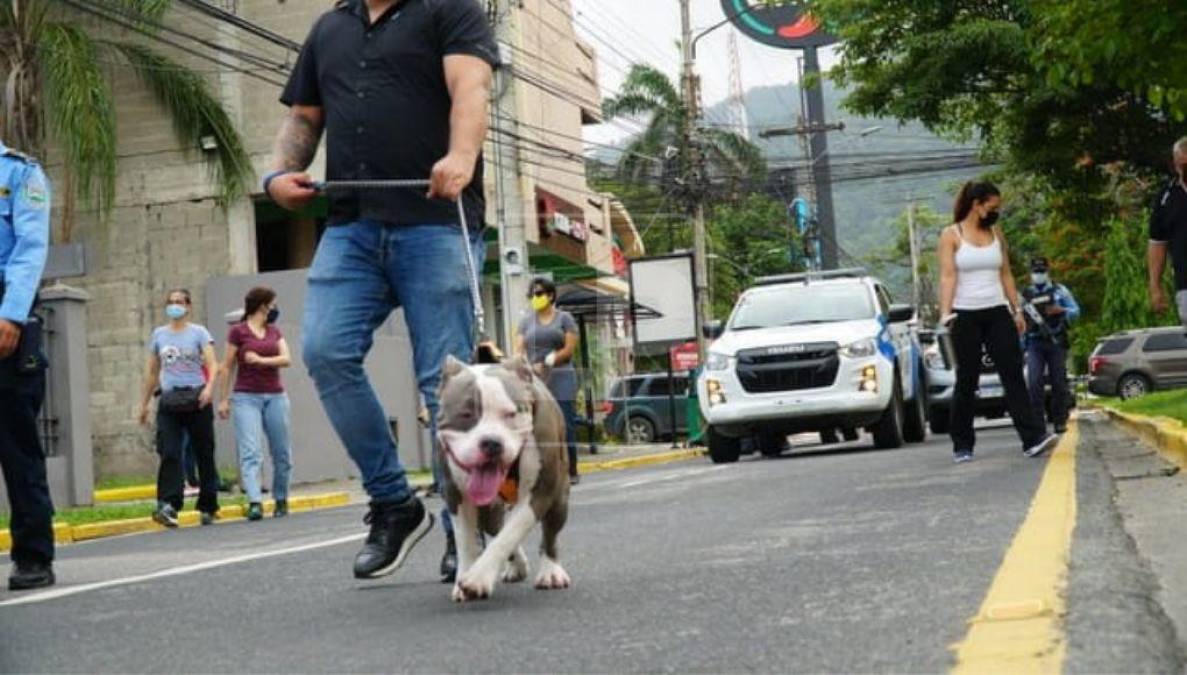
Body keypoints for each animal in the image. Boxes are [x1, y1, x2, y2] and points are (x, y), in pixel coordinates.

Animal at [436, 353, 569, 600]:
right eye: (466, 414)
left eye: (511, 414)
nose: (491, 442)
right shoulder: (456, 496)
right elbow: (466, 541)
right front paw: (464, 577)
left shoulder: (539, 494)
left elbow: (510, 534)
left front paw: (478, 578)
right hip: (488, 510)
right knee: (495, 526)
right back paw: (517, 566)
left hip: (559, 499)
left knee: (550, 534)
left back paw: (551, 572)